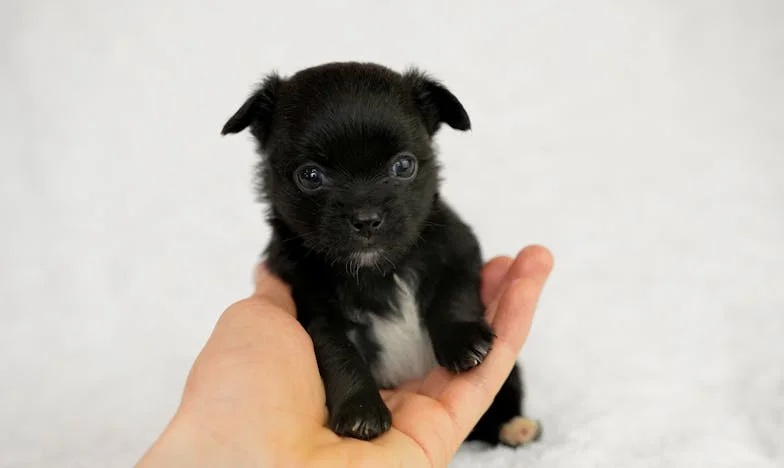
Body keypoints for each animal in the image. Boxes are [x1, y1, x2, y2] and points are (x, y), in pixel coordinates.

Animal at [220, 61, 540, 446]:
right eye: (310, 176)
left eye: (403, 166)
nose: (366, 218)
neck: (378, 269)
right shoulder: (317, 311)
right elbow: (339, 355)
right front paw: (361, 410)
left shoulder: (458, 250)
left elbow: (453, 295)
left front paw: (463, 341)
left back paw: (515, 426)